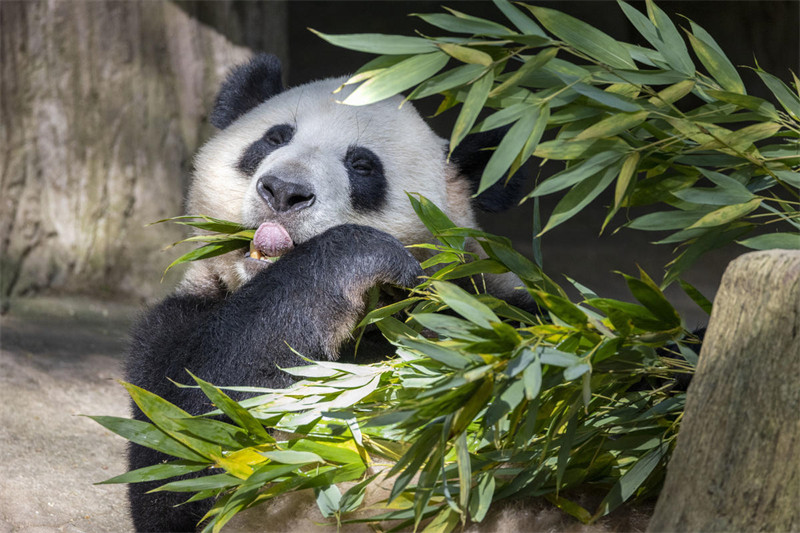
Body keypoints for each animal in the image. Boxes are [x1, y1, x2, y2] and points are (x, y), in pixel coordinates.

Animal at [126, 54, 532, 532]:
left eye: (362, 165)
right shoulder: (177, 323)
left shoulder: (487, 309)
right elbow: (185, 436)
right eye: (274, 138)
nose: (284, 191)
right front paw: (360, 255)